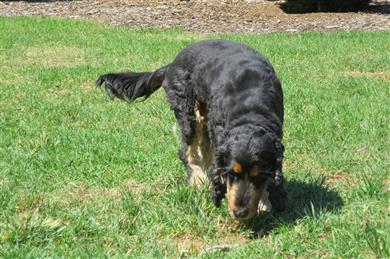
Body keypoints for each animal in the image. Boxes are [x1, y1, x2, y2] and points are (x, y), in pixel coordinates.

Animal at [96, 39, 286, 221]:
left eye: (258, 176)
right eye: (231, 174)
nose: (239, 213)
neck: (250, 111)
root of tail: (172, 64)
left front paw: (263, 202)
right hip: (187, 109)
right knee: (187, 150)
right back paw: (198, 180)